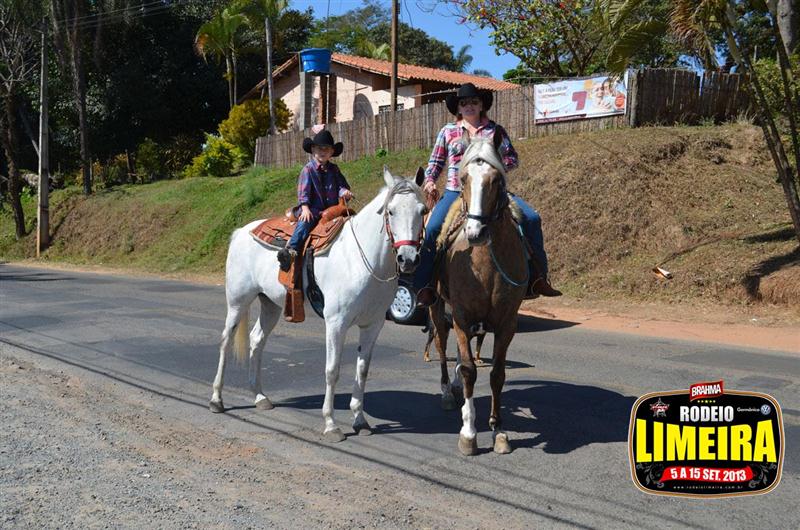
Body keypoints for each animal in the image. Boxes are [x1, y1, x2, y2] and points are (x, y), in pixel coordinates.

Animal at [210, 167, 427, 442]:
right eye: (391, 211)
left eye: (422, 210)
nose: (407, 259)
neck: (360, 259)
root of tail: (241, 231)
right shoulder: (336, 323)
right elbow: (332, 370)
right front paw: (331, 424)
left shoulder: (373, 325)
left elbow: (362, 370)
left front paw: (360, 421)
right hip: (238, 302)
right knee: (225, 341)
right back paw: (216, 399)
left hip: (270, 304)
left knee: (257, 340)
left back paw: (260, 397)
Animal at [428, 135, 528, 455]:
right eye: (464, 179)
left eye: (496, 180)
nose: (475, 233)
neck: (484, 264)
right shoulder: (460, 316)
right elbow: (471, 370)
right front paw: (469, 433)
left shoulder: (508, 323)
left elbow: (497, 374)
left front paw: (498, 430)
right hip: (437, 309)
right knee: (441, 346)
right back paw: (448, 392)